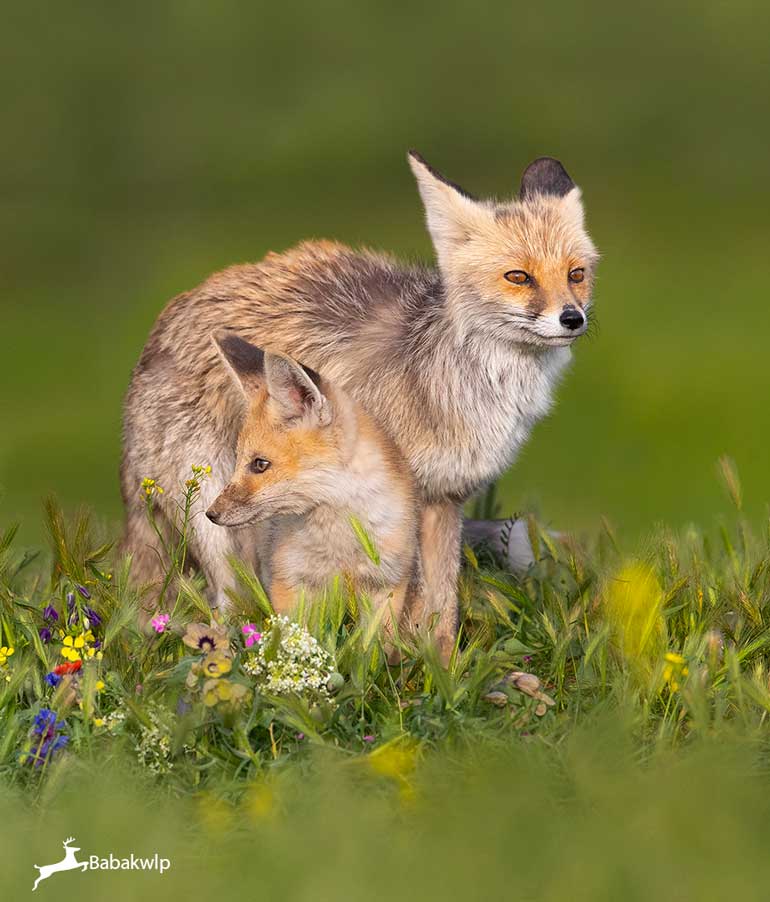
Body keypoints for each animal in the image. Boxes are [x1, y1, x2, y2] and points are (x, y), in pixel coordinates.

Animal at [123, 152, 596, 660]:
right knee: (227, 603)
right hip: (217, 517)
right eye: (518, 277)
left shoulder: (443, 498)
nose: (572, 318)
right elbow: (406, 598)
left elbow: (440, 606)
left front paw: (439, 667)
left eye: (576, 274)